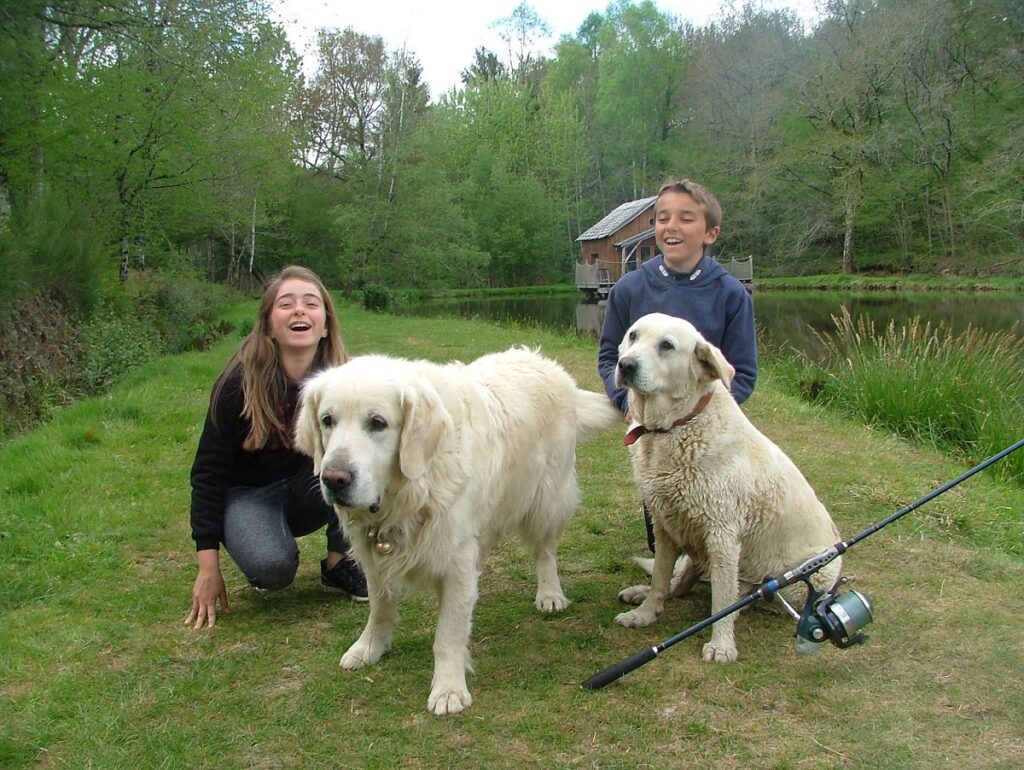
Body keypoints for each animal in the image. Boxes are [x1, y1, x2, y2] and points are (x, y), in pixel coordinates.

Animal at [292, 348, 618, 716]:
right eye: (327, 420)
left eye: (377, 423)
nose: (334, 479)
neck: (413, 490)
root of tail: (548, 365)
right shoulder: (374, 556)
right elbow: (380, 607)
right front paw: (369, 647)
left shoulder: (455, 560)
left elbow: (448, 634)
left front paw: (448, 688)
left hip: (548, 498)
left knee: (545, 551)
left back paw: (549, 593)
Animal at [614, 313, 839, 663]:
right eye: (633, 336)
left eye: (666, 345)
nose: (625, 365)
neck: (676, 426)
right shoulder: (666, 526)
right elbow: (661, 578)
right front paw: (645, 614)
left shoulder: (722, 536)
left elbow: (721, 600)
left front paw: (721, 644)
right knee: (678, 584)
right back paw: (640, 593)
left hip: (813, 572)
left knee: (741, 593)